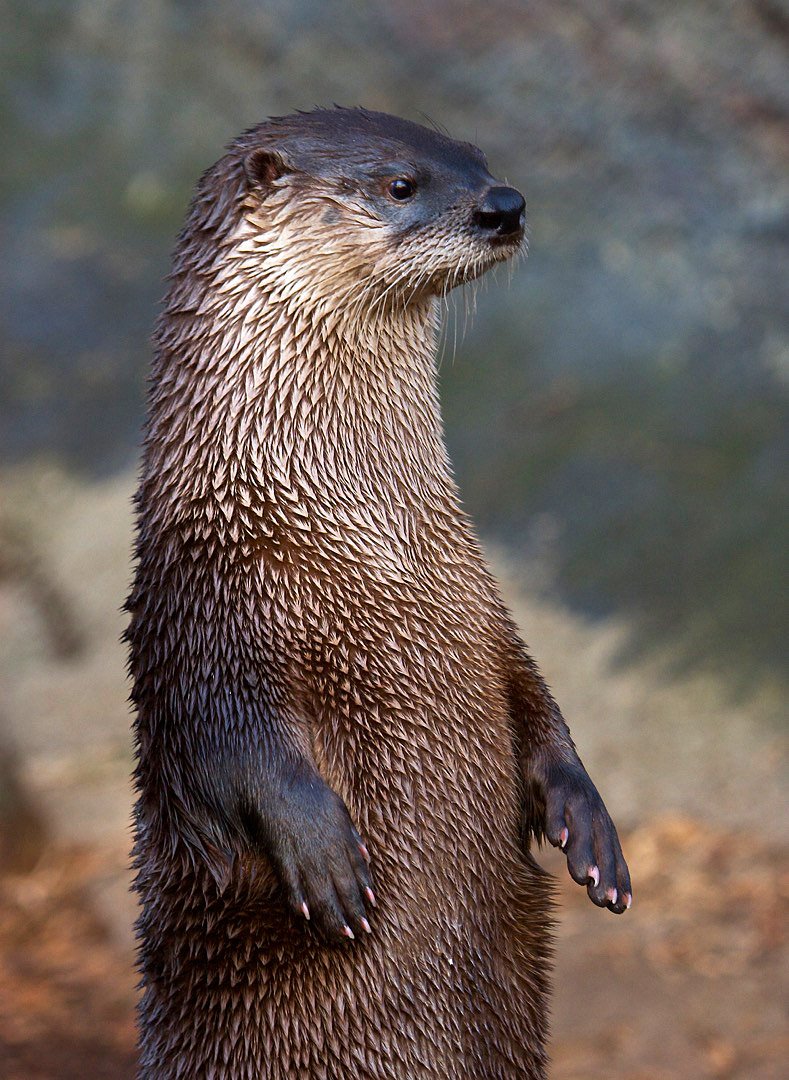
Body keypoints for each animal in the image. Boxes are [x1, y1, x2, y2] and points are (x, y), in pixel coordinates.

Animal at [127, 107, 631, 1080]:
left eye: (477, 159)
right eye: (400, 184)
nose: (504, 205)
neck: (369, 538)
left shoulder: (479, 600)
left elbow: (533, 696)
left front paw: (588, 827)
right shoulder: (201, 606)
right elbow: (227, 736)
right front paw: (322, 852)